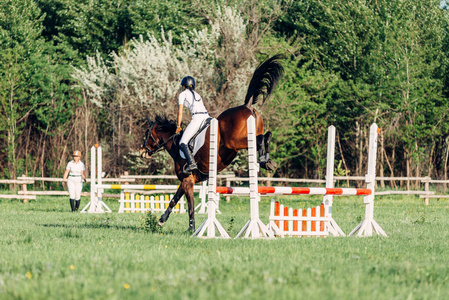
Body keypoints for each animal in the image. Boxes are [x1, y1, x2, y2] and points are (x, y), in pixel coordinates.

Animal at [139, 54, 284, 232]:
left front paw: (191, 229)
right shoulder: (187, 181)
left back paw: (264, 160)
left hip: (236, 142)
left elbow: (190, 206)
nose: (142, 152)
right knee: (267, 135)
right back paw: (268, 161)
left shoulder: (187, 181)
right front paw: (161, 220)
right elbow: (174, 199)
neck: (175, 144)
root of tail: (247, 106)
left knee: (260, 139)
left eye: (147, 134)